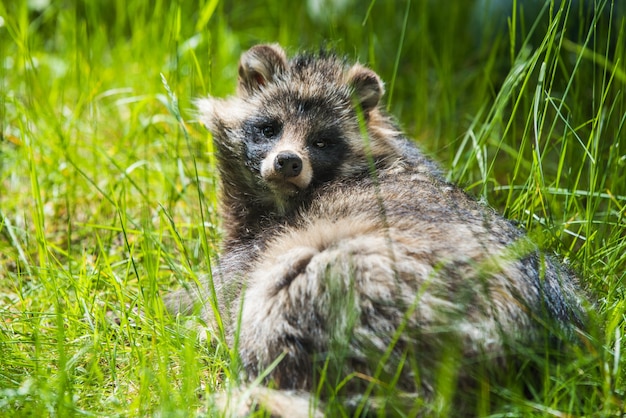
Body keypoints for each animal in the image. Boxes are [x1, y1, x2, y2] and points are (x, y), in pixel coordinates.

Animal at [166, 43, 584, 414]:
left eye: (321, 142)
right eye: (270, 128)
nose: (288, 162)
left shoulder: (262, 243)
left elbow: (216, 295)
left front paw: (182, 314)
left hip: (366, 282)